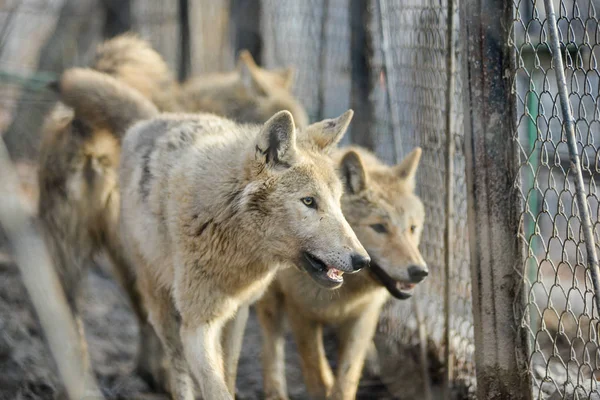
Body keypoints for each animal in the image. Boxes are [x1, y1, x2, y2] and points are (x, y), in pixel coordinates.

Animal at [255, 147, 428, 400]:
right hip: (271, 301)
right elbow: (315, 369)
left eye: (412, 228)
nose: (419, 272)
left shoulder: (363, 315)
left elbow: (347, 376)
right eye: (379, 227)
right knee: (271, 341)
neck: (343, 289)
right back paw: (275, 391)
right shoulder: (300, 311)